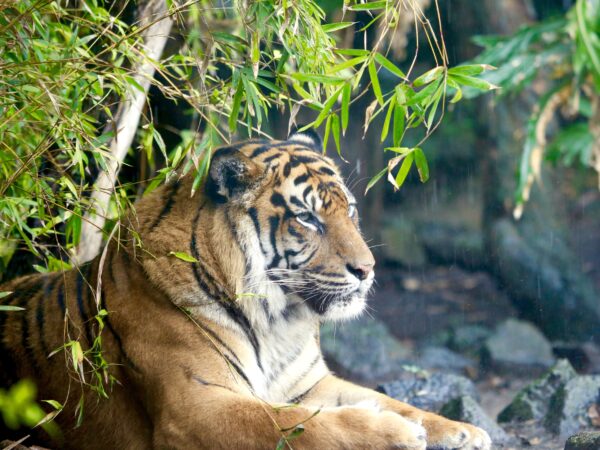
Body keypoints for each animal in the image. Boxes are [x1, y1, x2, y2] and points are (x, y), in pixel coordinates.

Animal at [0, 128, 492, 448]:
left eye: (349, 210)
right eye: (307, 218)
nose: (368, 270)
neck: (281, 321)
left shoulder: (310, 384)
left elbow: (386, 398)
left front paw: (461, 431)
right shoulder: (197, 406)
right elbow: (303, 426)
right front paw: (398, 434)